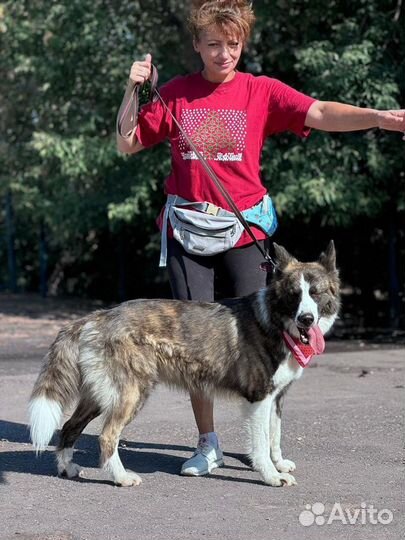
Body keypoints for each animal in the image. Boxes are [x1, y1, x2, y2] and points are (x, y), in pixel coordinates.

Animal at [28, 243, 340, 488]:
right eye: (294, 294)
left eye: (315, 293)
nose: (306, 319)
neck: (274, 321)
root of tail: (95, 317)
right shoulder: (258, 399)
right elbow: (261, 443)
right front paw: (271, 476)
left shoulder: (275, 398)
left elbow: (274, 436)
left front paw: (279, 464)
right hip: (130, 395)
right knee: (107, 437)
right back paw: (121, 478)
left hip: (99, 396)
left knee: (69, 427)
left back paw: (68, 469)